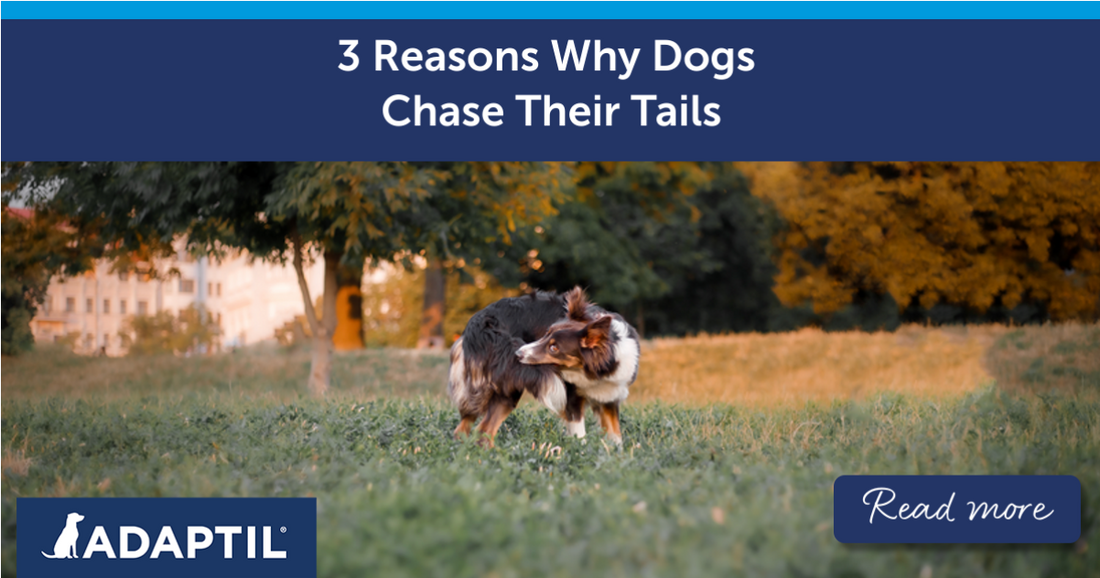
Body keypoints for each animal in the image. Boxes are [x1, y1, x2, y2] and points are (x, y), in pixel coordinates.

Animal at [446, 286, 642, 444]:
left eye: (554, 348)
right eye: (545, 334)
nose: (518, 354)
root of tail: (480, 322)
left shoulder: (610, 398)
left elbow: (616, 437)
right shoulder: (572, 399)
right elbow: (580, 436)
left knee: (465, 429)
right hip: (508, 387)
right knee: (484, 430)